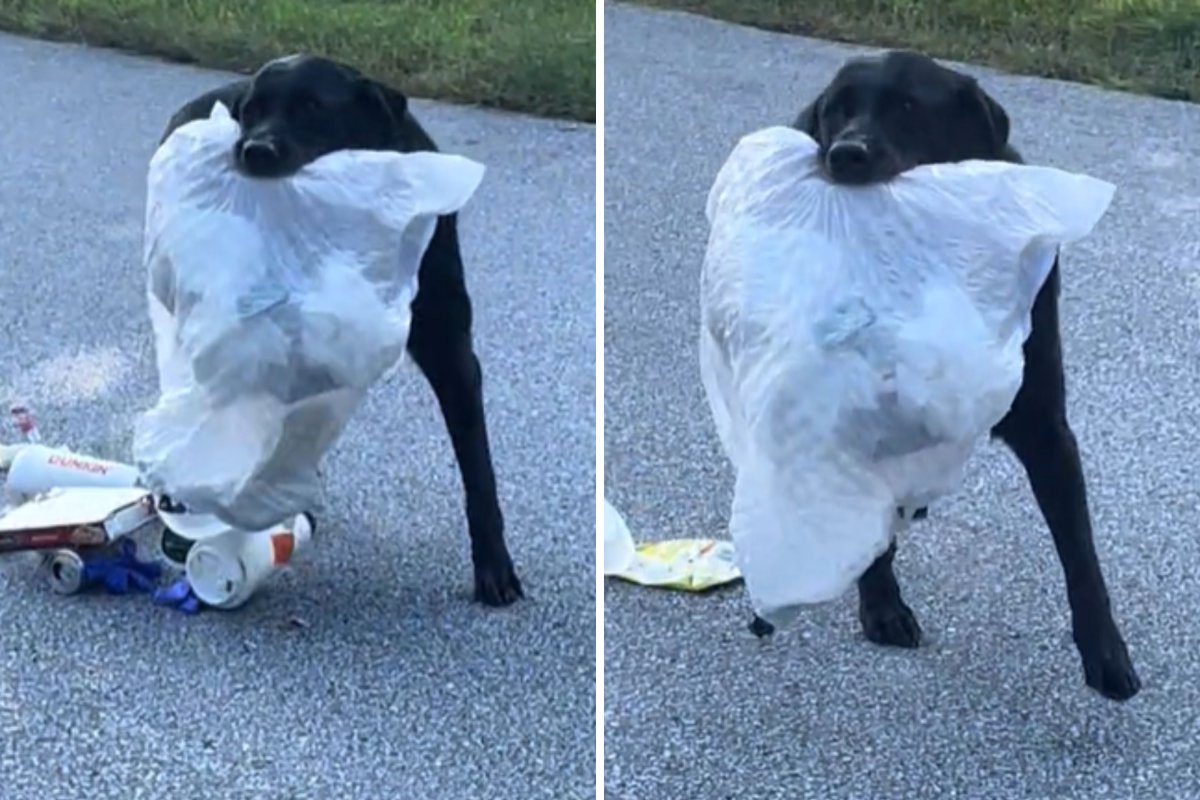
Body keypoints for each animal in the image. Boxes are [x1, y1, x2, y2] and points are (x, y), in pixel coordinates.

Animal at [159, 54, 520, 606]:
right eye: (251, 112)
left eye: (312, 108)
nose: (253, 150)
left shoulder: (451, 351)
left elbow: (479, 471)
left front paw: (494, 566)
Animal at [753, 50, 1137, 700]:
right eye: (837, 110)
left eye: (909, 107)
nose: (845, 154)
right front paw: (882, 604)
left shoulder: (1046, 425)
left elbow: (1081, 554)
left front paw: (1107, 654)